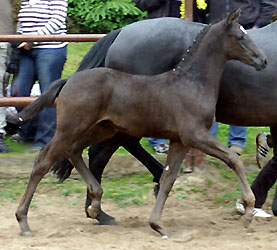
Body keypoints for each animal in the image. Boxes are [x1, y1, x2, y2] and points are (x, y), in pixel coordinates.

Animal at [15, 10, 266, 237]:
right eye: (240, 36)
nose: (262, 60)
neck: (193, 83)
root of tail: (68, 80)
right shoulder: (195, 135)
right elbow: (233, 159)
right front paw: (247, 209)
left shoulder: (180, 140)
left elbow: (167, 179)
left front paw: (157, 225)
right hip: (71, 127)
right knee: (44, 161)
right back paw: (24, 220)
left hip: (102, 129)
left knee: (75, 151)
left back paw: (95, 204)